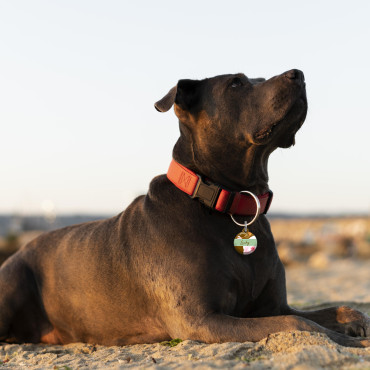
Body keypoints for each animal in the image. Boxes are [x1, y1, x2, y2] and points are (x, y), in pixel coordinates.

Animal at [0, 68, 368, 346]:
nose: (299, 74)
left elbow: (331, 310)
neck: (232, 204)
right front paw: (348, 342)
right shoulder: (202, 319)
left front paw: (354, 322)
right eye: (236, 83)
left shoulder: (273, 305)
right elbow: (299, 325)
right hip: (13, 282)